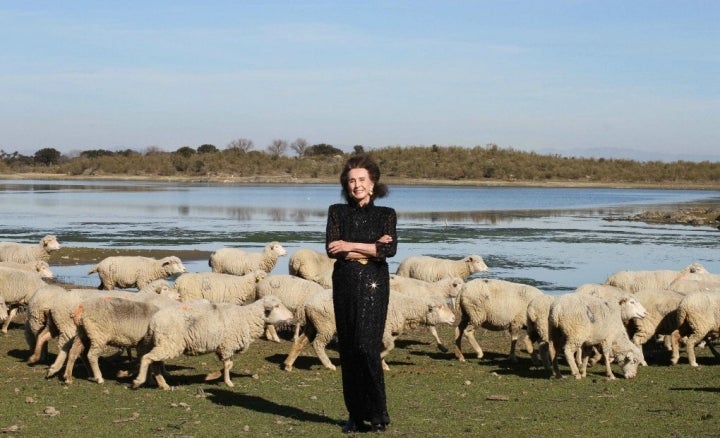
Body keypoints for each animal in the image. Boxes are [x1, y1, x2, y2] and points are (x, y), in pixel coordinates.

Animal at [134, 296, 294, 388]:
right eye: (277, 306)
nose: (292, 316)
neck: (247, 317)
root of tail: (153, 322)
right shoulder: (227, 345)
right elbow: (228, 365)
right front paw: (228, 382)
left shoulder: (224, 347)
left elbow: (228, 364)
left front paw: (215, 376)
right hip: (170, 343)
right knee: (147, 358)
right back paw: (139, 381)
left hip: (162, 343)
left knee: (154, 362)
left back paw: (160, 384)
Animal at [282, 290, 456, 370]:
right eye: (440, 307)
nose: (454, 318)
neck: (405, 308)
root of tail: (307, 304)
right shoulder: (385, 330)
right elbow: (390, 347)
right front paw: (381, 360)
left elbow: (382, 347)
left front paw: (382, 364)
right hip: (326, 325)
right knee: (318, 344)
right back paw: (329, 365)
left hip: (314, 324)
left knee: (300, 342)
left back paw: (288, 364)